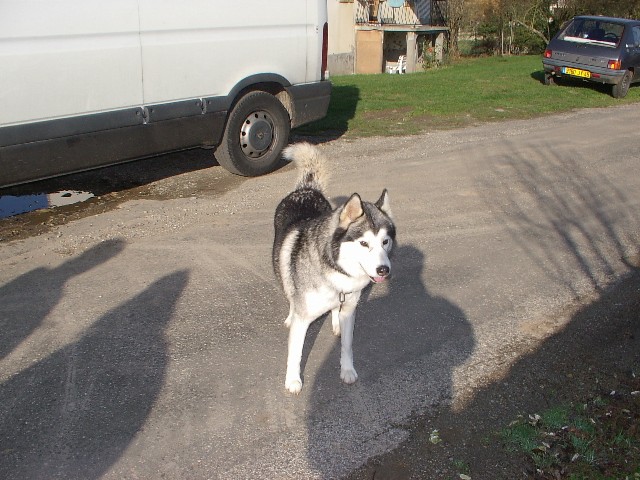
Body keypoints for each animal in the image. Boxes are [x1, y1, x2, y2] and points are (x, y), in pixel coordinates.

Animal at [272, 142, 396, 394]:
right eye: (364, 243)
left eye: (385, 241)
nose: (383, 270)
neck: (336, 273)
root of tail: (306, 189)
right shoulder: (303, 319)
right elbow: (295, 353)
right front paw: (293, 380)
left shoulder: (349, 308)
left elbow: (347, 346)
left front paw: (347, 370)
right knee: (289, 290)